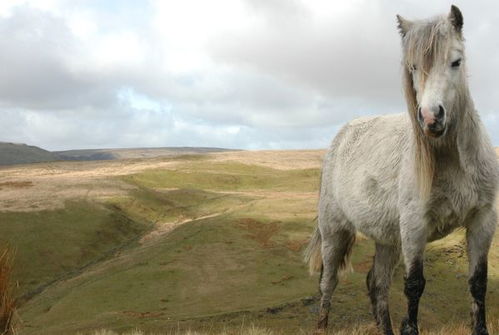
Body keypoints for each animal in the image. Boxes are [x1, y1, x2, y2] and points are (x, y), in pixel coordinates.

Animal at [306, 5, 498, 335]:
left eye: (456, 61)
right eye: (413, 66)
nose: (431, 118)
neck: (455, 162)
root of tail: (341, 136)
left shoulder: (482, 221)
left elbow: (477, 283)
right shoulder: (414, 227)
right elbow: (414, 285)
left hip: (387, 239)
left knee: (377, 285)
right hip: (335, 232)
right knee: (327, 282)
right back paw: (322, 323)